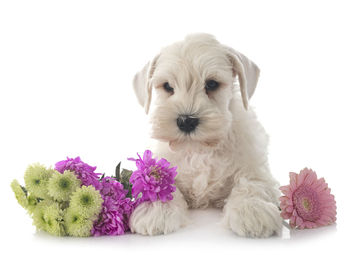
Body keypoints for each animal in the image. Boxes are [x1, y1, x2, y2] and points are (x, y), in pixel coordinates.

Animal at [130, 33, 280, 237]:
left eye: (212, 84)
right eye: (167, 86)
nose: (186, 121)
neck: (199, 149)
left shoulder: (255, 166)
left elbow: (252, 183)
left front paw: (252, 210)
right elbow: (161, 184)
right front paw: (157, 210)